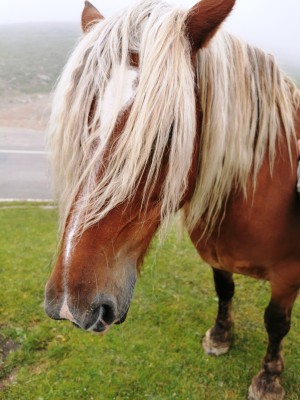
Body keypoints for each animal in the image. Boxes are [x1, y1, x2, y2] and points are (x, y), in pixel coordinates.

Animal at [44, 1, 300, 398]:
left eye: (169, 130)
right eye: (85, 121)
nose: (72, 306)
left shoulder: (288, 275)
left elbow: (276, 321)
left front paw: (269, 377)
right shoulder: (217, 257)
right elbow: (224, 290)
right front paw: (220, 336)